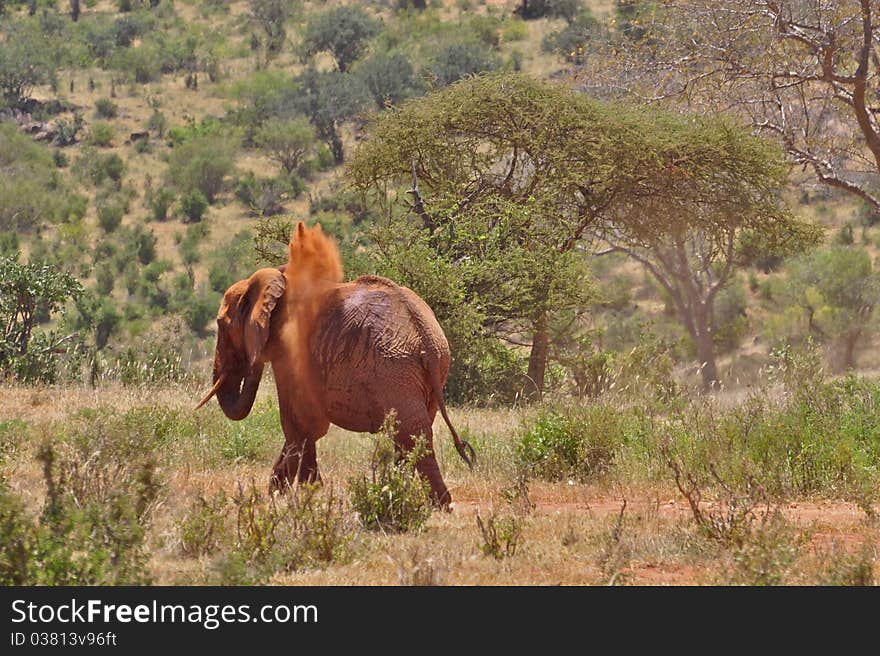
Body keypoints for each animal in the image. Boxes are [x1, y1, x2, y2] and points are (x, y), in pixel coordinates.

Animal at [195, 223, 470, 504]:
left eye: (220, 324)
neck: (277, 282)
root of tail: (425, 335)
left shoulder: (289, 352)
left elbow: (297, 424)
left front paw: (295, 496)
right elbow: (305, 427)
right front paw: (297, 493)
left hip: (396, 371)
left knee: (411, 433)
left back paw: (436, 504)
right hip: (431, 369)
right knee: (410, 434)